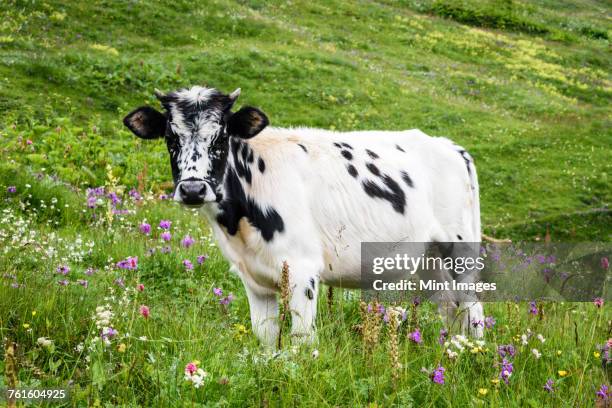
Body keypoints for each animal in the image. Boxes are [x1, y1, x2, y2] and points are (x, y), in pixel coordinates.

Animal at [124, 85, 486, 344]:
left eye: (222, 135)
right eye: (170, 136)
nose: (193, 189)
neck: (238, 225)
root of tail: (451, 146)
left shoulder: (302, 270)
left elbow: (301, 343)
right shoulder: (253, 280)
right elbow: (267, 339)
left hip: (460, 250)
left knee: (473, 308)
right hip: (428, 258)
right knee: (450, 308)